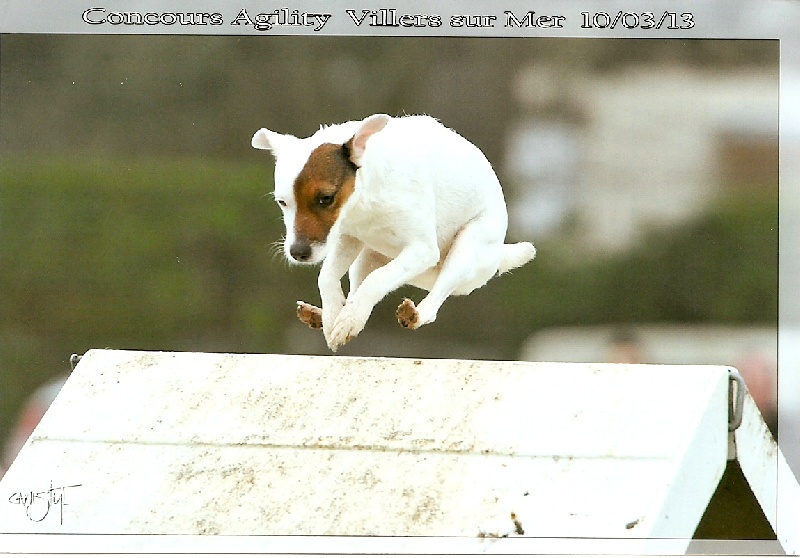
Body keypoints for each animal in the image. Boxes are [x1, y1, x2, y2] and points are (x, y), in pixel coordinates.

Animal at [253, 112, 536, 350]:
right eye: (282, 202)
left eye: (325, 198)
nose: (298, 253)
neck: (364, 201)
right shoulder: (347, 237)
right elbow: (326, 277)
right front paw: (334, 315)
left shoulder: (422, 250)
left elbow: (375, 281)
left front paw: (349, 321)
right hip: (367, 256)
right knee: (356, 287)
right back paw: (323, 315)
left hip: (465, 250)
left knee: (431, 302)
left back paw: (407, 314)